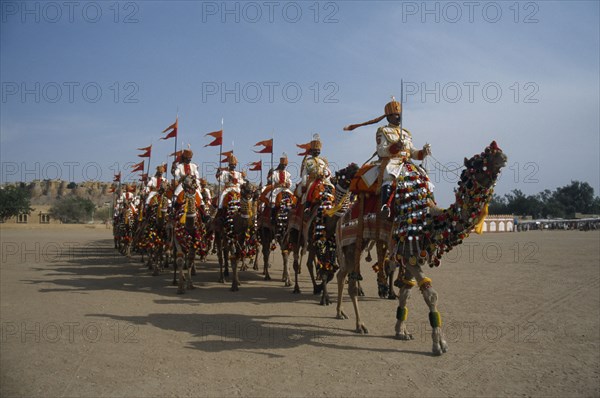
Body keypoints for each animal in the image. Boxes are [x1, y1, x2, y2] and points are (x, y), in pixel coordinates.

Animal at [336, 141, 508, 356]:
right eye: (479, 160)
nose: (502, 156)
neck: (429, 220)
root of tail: (340, 219)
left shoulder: (412, 256)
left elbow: (406, 293)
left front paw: (401, 331)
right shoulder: (409, 251)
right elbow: (431, 294)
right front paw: (439, 344)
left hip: (358, 245)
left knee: (343, 274)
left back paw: (343, 313)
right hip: (351, 244)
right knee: (349, 280)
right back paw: (359, 324)